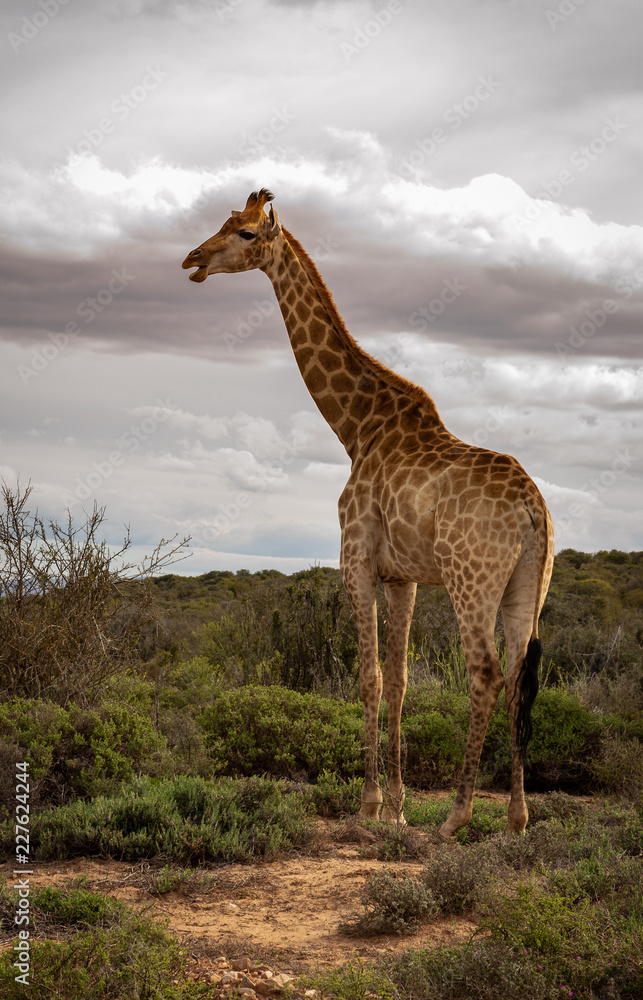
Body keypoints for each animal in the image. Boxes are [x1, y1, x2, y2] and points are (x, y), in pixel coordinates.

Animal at [182, 188, 555, 837]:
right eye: (225, 222)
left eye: (247, 233)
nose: (192, 260)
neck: (356, 428)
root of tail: (535, 510)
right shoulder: (404, 575)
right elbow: (401, 681)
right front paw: (400, 808)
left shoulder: (354, 556)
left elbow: (368, 677)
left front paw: (370, 806)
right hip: (527, 586)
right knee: (518, 679)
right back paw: (515, 817)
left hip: (471, 578)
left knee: (484, 673)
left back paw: (457, 816)